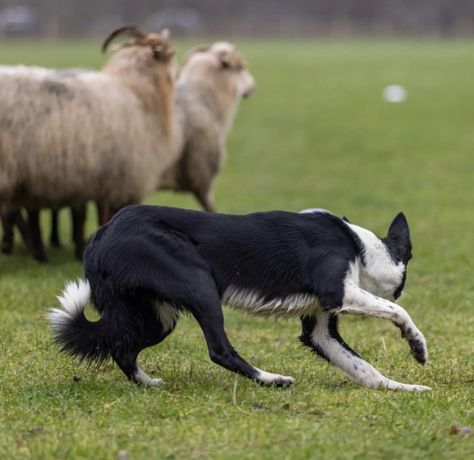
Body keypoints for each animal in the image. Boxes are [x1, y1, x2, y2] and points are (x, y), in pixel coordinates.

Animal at [0, 27, 178, 260]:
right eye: (169, 51)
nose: (177, 74)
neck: (136, 91)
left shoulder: (92, 178)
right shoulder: (114, 177)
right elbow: (102, 215)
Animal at [49, 206, 430, 392]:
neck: (360, 246)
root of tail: (102, 234)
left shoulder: (320, 330)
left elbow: (364, 369)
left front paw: (401, 387)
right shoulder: (338, 291)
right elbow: (398, 309)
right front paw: (416, 344)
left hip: (158, 317)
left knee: (122, 350)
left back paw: (147, 384)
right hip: (199, 284)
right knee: (220, 351)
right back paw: (272, 380)